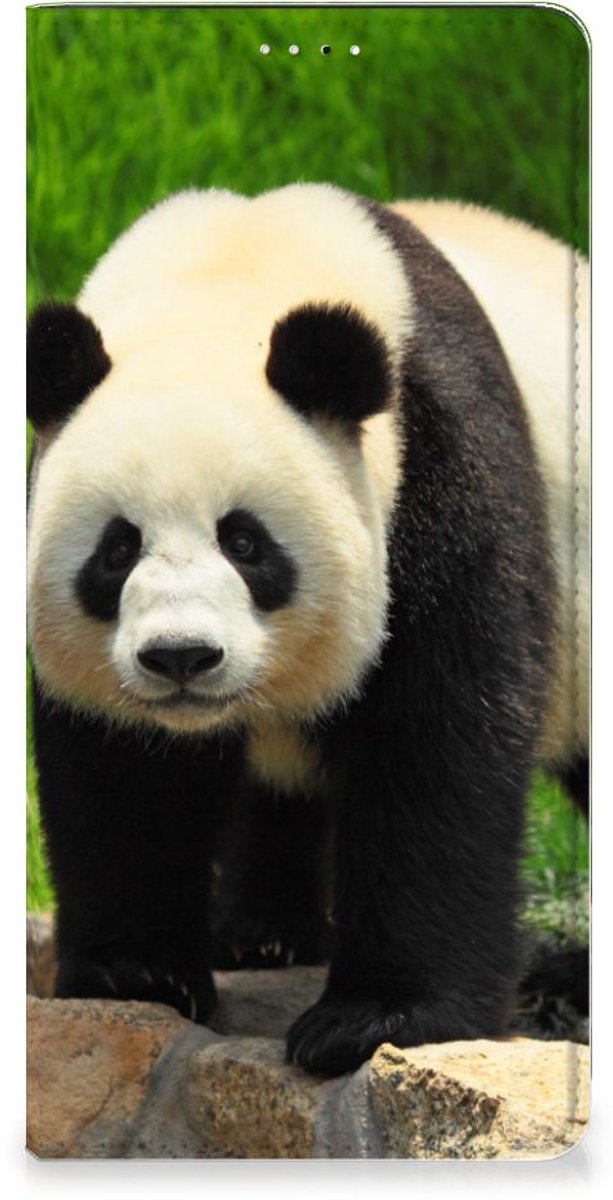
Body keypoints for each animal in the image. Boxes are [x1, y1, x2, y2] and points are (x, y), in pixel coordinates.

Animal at [27, 183, 588, 1077]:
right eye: (117, 549)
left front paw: (377, 1019)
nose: (181, 657)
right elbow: (122, 770)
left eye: (245, 542)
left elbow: (435, 739)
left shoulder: (440, 466)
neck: (230, 276)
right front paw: (134, 974)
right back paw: (262, 933)